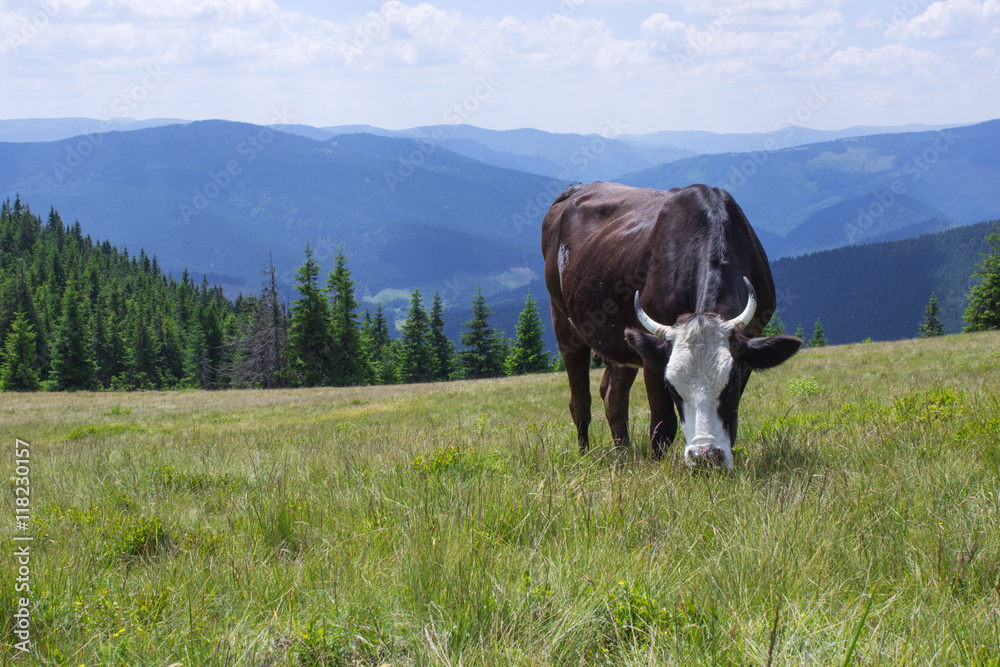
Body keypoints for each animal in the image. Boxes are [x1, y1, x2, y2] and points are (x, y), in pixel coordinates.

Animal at [544, 180, 800, 468]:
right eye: (671, 385)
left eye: (732, 379)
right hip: (563, 322)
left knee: (614, 399)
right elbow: (662, 424)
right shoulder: (655, 358)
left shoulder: (749, 344)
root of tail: (576, 188)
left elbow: (732, 418)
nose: (705, 456)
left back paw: (623, 455)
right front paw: (659, 468)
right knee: (580, 402)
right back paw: (585, 455)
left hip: (620, 342)